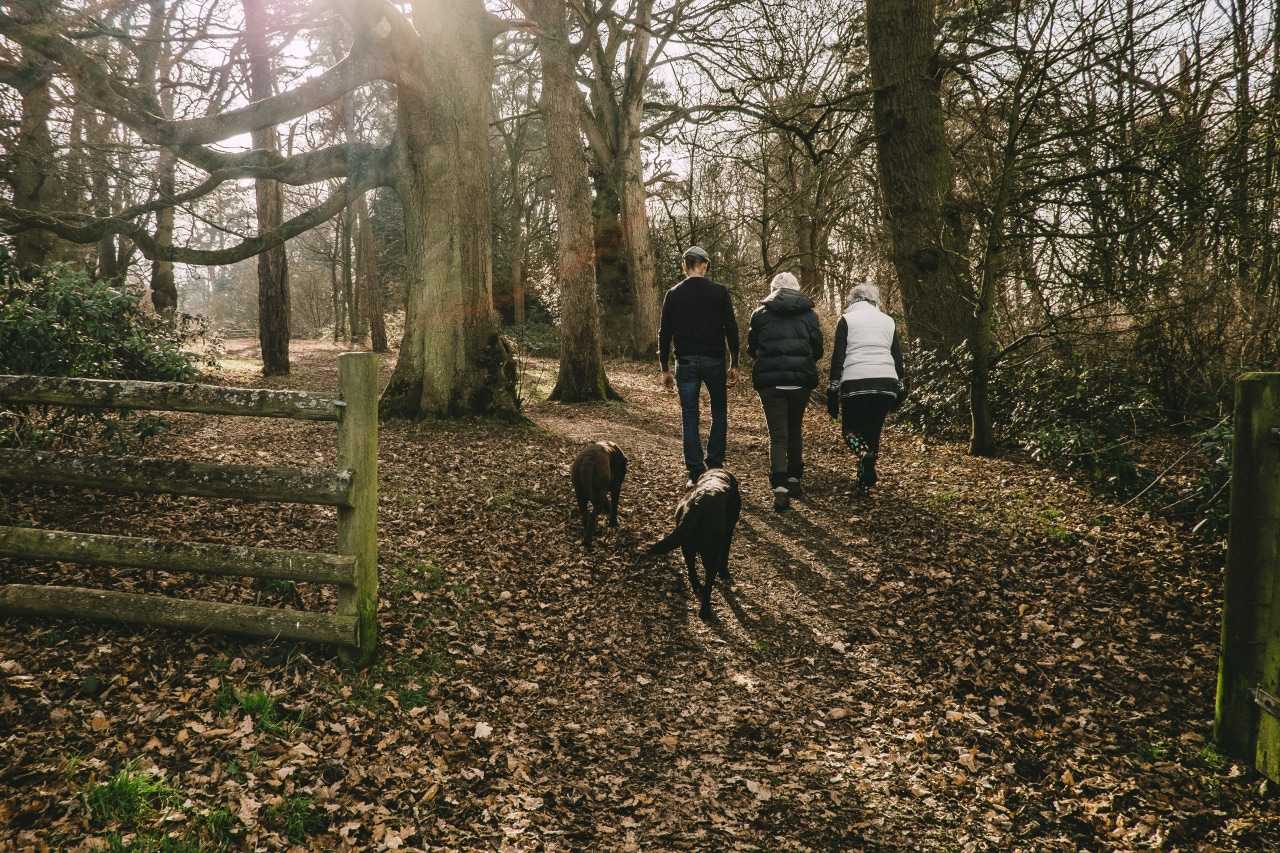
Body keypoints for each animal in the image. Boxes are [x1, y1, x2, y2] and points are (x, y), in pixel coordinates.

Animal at [650, 466, 742, 617]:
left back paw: (697, 587)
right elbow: (725, 556)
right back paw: (705, 611)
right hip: (709, 553)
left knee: (691, 570)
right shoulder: (728, 534)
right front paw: (724, 573)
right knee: (708, 582)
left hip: (687, 547)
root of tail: (696, 506)